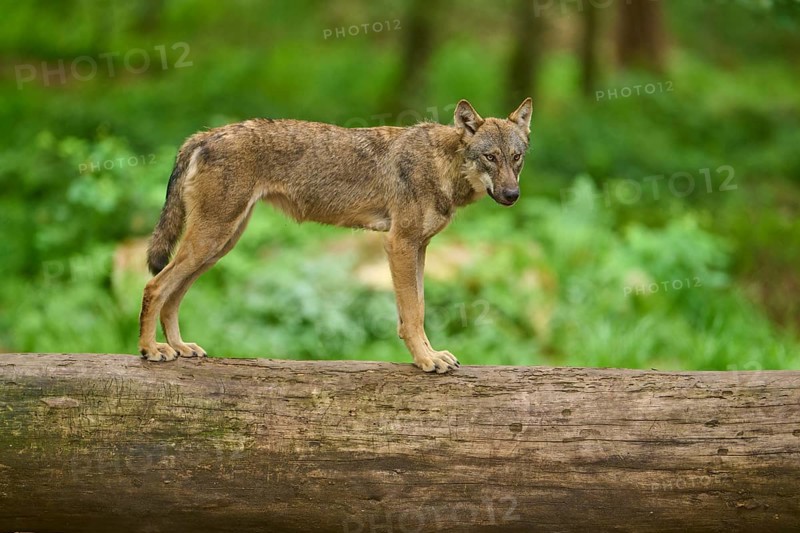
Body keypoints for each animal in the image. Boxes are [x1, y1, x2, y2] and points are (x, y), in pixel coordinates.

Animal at [138, 98, 532, 373]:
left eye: (516, 158)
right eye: (490, 157)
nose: (513, 195)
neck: (442, 165)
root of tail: (204, 134)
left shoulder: (418, 247)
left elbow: (414, 311)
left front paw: (428, 355)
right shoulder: (399, 244)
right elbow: (414, 312)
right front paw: (426, 360)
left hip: (219, 245)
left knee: (172, 294)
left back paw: (180, 347)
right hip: (212, 240)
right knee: (154, 286)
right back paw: (150, 350)